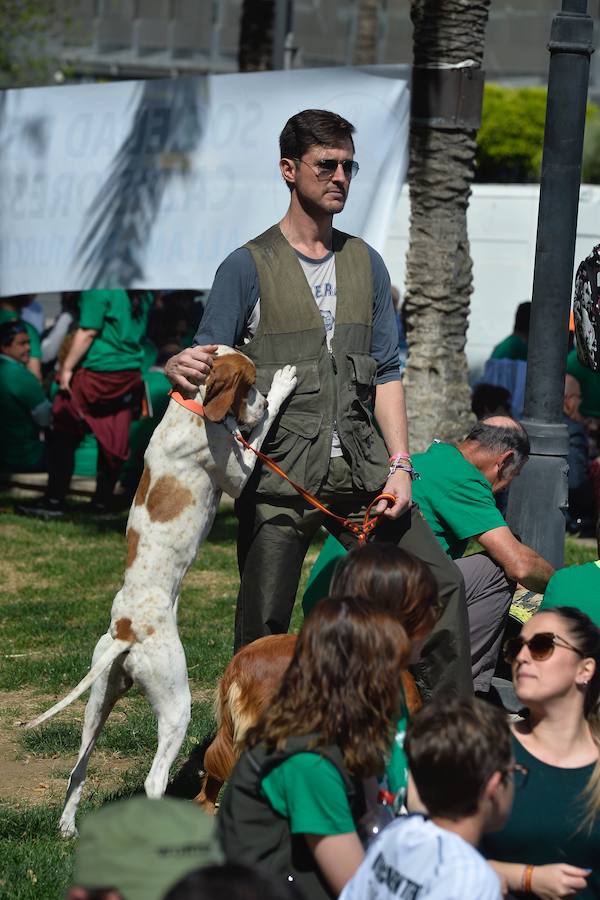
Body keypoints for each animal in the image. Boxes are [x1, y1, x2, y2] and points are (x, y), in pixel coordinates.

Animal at [25, 346, 298, 836]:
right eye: (250, 386)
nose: (264, 399)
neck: (190, 409)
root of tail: (126, 631)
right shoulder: (239, 473)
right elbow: (260, 433)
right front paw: (283, 388)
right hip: (177, 704)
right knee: (154, 779)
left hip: (98, 702)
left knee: (78, 767)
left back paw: (69, 826)